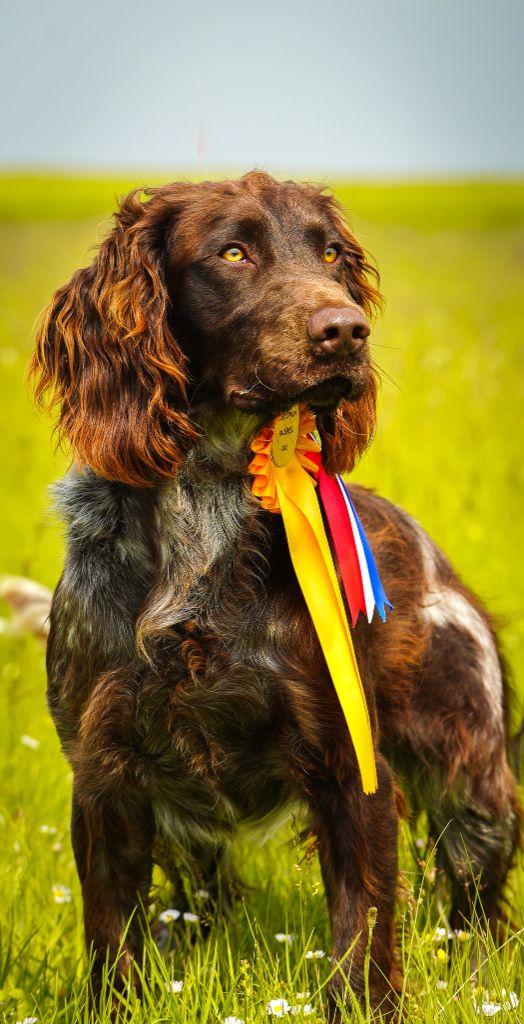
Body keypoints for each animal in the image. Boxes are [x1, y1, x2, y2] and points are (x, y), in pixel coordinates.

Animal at [28, 172, 519, 1011]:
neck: (204, 510)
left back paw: (482, 986)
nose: (346, 330)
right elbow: (113, 942)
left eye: (330, 254)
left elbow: (361, 940)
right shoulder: (105, 775)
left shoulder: (353, 765)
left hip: (472, 771)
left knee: (477, 906)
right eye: (233, 252)